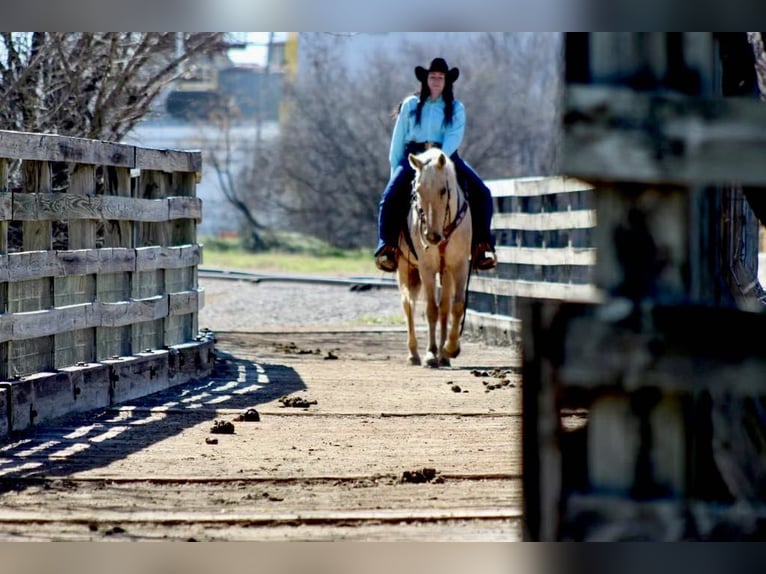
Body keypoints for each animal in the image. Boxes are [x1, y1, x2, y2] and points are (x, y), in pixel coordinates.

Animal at [396, 146, 474, 366]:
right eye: (417, 191)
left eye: (443, 190)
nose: (431, 236)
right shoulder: (426, 268)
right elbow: (431, 309)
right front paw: (431, 353)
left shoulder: (459, 266)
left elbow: (456, 306)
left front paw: (450, 349)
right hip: (405, 267)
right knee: (408, 304)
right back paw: (414, 353)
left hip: (445, 273)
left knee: (445, 308)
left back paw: (443, 356)